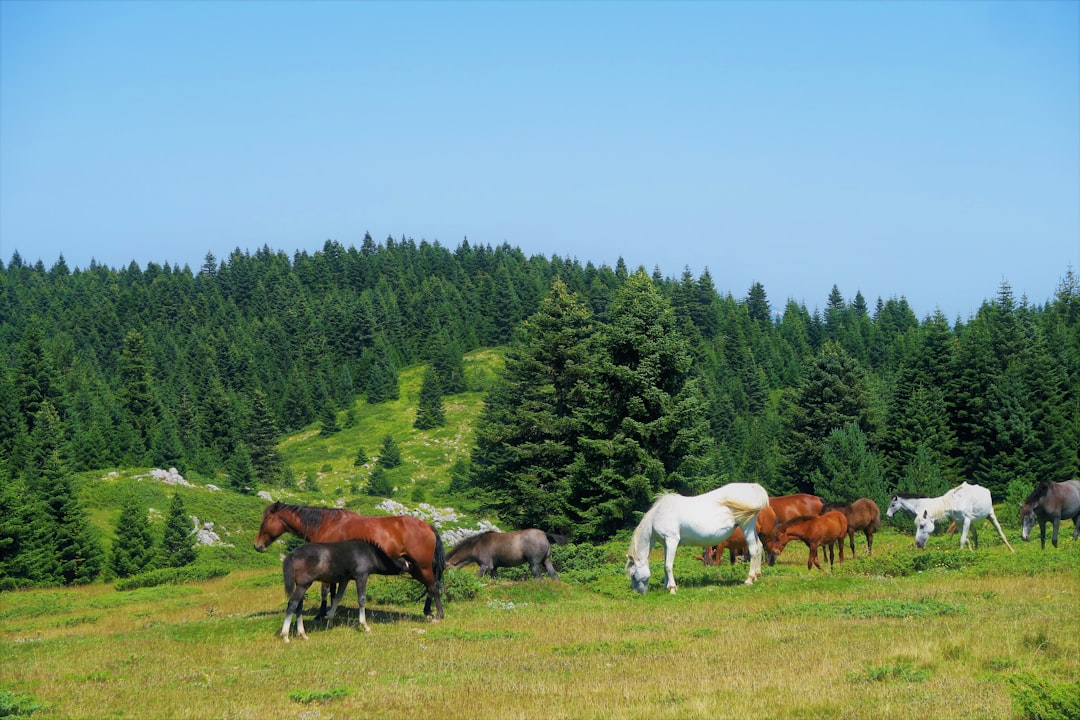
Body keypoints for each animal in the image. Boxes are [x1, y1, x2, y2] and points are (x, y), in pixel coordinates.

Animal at [253, 505, 447, 621]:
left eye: (265, 520)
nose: (257, 545)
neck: (326, 525)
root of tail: (428, 526)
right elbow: (333, 590)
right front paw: (331, 610)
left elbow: (325, 590)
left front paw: (322, 614)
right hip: (415, 568)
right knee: (430, 587)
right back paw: (428, 612)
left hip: (422, 567)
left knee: (434, 586)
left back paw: (438, 614)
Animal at [278, 539, 408, 643]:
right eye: (407, 564)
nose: (409, 572)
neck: (370, 553)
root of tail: (292, 555)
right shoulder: (361, 576)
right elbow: (361, 599)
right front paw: (365, 626)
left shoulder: (345, 579)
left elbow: (337, 598)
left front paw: (329, 620)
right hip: (304, 584)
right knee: (292, 604)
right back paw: (285, 636)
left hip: (301, 585)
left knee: (298, 606)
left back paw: (302, 634)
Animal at [626, 481, 768, 595]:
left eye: (633, 574)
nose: (638, 593)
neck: (658, 514)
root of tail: (753, 487)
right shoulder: (667, 543)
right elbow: (665, 565)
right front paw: (666, 587)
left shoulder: (672, 540)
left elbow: (668, 566)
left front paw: (672, 589)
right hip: (751, 528)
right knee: (759, 546)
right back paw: (757, 575)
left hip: (747, 526)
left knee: (753, 549)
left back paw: (749, 579)